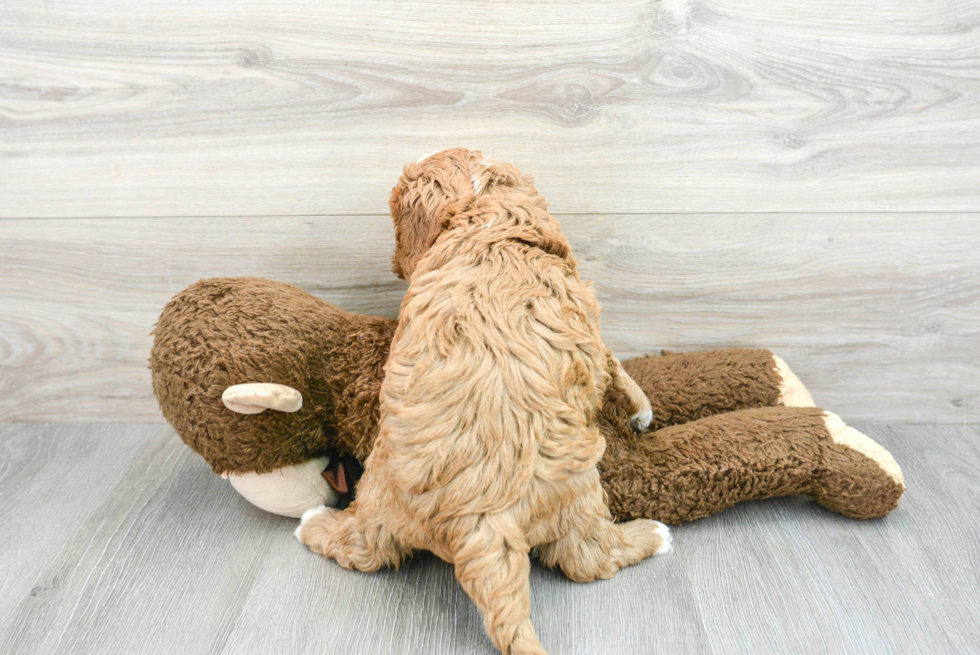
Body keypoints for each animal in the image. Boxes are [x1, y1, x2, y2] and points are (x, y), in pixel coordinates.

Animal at [294, 150, 668, 655]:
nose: (394, 266)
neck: (488, 214)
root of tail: (481, 517)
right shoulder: (587, 322)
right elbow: (614, 365)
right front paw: (642, 410)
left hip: (379, 495)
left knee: (365, 548)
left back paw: (314, 521)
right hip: (581, 493)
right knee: (589, 559)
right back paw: (654, 534)